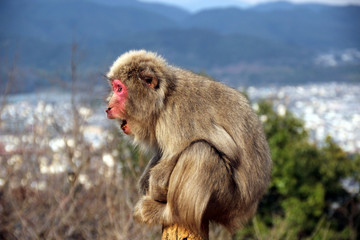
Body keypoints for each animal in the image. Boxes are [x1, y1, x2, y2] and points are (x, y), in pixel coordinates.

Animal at [105, 49, 272, 238]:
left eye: (119, 89)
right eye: (114, 88)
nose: (108, 106)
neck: (164, 99)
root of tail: (246, 211)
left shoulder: (177, 115)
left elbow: (221, 148)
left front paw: (156, 186)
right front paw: (145, 183)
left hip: (226, 202)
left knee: (201, 151)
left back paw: (168, 213)